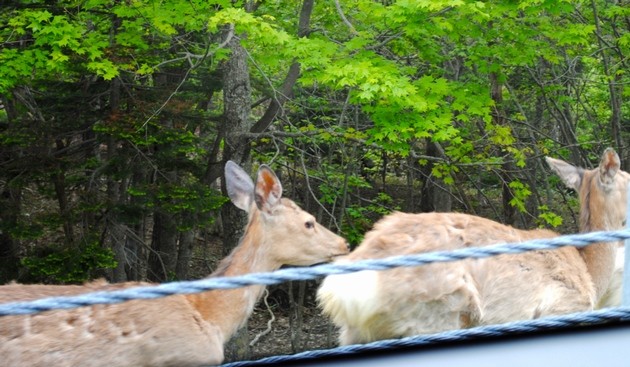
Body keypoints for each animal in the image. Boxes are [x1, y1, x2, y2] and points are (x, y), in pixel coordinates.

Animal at [318, 148, 628, 346]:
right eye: (628, 180)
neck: (590, 272)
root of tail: (340, 288)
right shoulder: (560, 307)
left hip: (354, 332)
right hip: (435, 311)